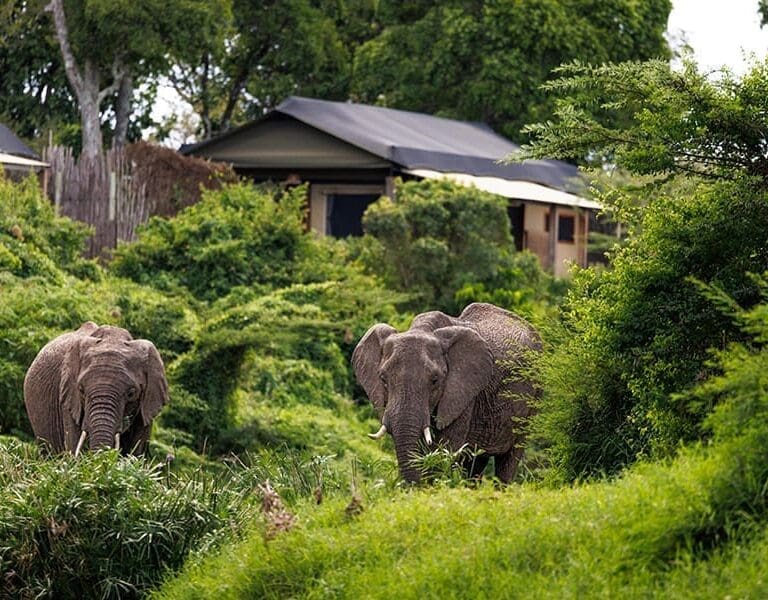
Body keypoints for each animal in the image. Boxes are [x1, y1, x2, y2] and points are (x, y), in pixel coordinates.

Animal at [353, 302, 541, 483]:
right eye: (383, 379)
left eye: (435, 380)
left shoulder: (464, 392)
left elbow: (444, 448)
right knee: (475, 462)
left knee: (509, 459)